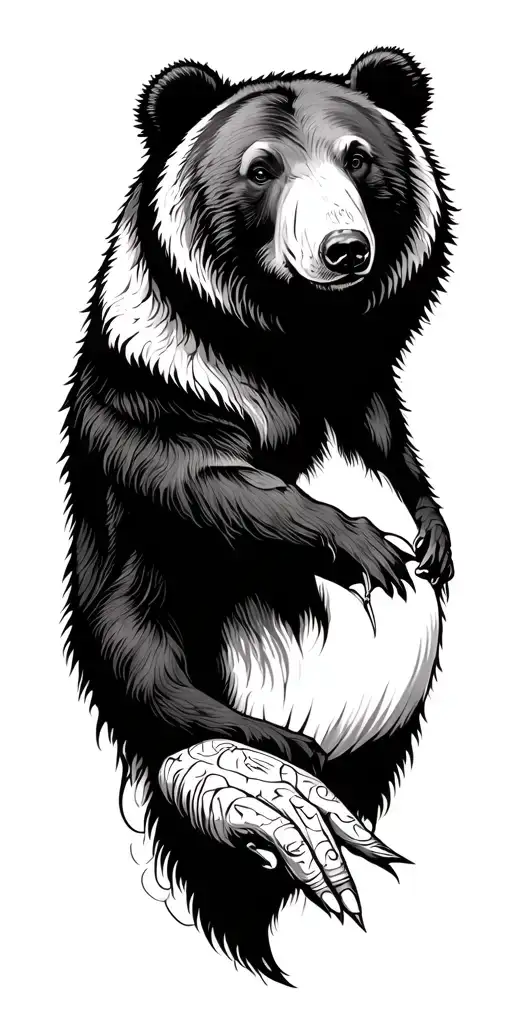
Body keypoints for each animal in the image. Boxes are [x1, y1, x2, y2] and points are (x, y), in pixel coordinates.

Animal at [62, 47, 455, 986]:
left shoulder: (368, 395)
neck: (302, 339)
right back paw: (271, 768)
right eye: (261, 169)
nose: (344, 248)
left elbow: (397, 453)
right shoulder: (160, 382)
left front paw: (432, 536)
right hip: (162, 642)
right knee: (149, 672)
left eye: (360, 157)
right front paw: (368, 548)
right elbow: (210, 480)